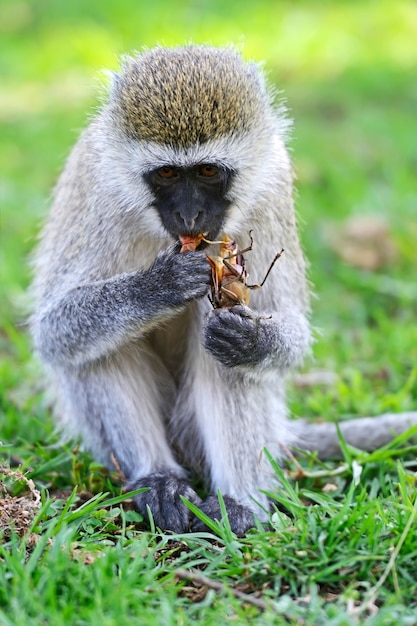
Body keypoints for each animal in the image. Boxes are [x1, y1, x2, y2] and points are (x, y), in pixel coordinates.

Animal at [30, 45, 416, 532]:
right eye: (168, 174)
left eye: (209, 170)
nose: (191, 216)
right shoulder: (97, 190)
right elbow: (54, 330)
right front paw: (159, 286)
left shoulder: (272, 190)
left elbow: (287, 333)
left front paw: (254, 339)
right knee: (98, 349)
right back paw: (158, 479)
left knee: (222, 352)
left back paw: (239, 502)